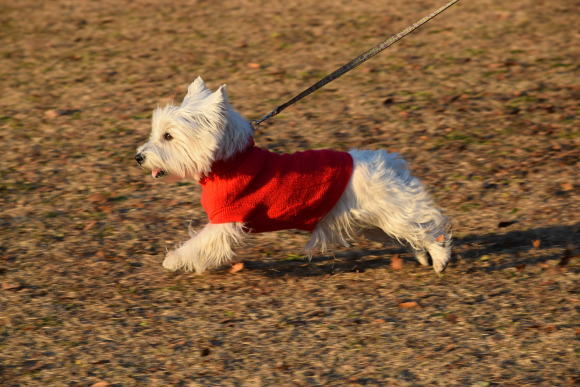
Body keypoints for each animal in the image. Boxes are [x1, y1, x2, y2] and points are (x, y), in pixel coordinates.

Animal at [137, 77, 454, 274]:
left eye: (168, 136)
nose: (138, 157)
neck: (231, 160)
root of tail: (388, 161)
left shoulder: (225, 220)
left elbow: (200, 242)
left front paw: (173, 260)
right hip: (372, 222)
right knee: (411, 235)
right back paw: (422, 256)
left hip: (392, 212)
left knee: (427, 226)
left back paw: (440, 259)